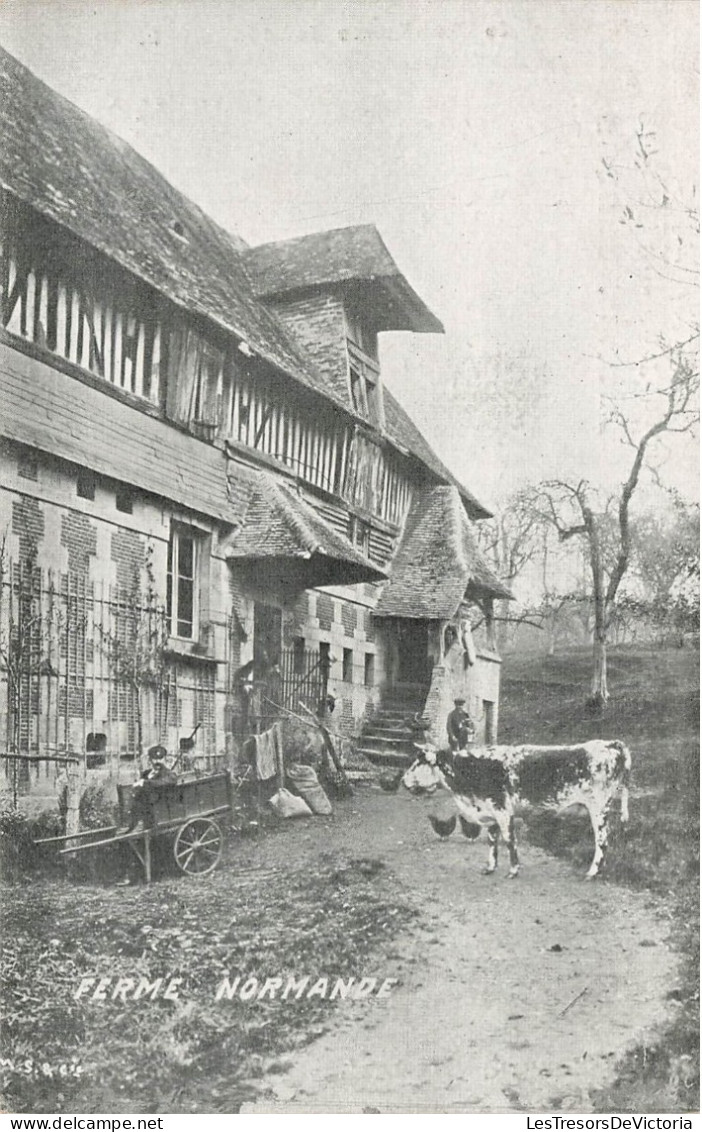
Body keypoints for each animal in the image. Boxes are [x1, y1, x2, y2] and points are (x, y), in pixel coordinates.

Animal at [403, 742, 634, 882]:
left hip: (599, 808)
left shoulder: (503, 810)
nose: (403, 781)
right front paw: (490, 867)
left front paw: (513, 870)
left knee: (602, 841)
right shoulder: (491, 812)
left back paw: (592, 872)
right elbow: (492, 841)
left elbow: (509, 840)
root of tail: (611, 743)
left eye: (418, 762)